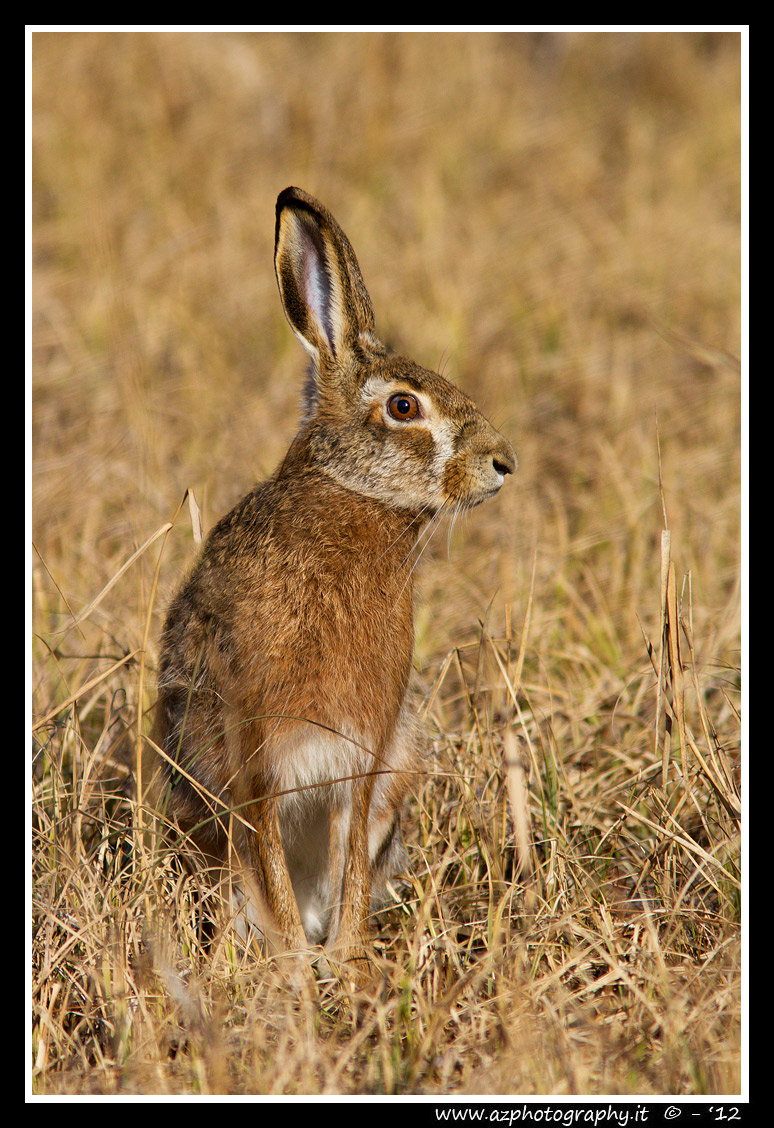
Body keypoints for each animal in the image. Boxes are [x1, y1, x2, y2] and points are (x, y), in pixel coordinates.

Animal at [149, 187, 516, 983]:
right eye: (404, 407)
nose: (503, 463)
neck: (352, 495)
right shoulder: (256, 748)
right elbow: (267, 847)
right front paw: (295, 961)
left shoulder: (368, 752)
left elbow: (349, 855)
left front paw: (342, 958)